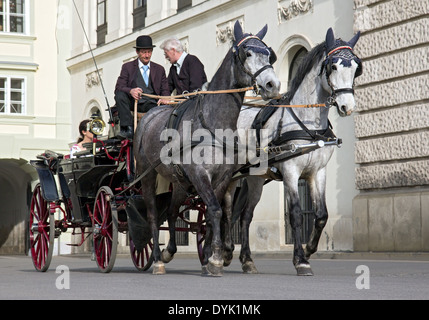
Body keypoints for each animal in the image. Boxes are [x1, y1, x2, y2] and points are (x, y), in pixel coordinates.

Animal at [134, 20, 280, 276]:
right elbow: (215, 210)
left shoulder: (221, 179)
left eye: (268, 53)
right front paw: (216, 259)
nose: (272, 85)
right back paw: (158, 260)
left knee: (171, 211)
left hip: (180, 182)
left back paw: (169, 251)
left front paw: (214, 256)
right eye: (247, 53)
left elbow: (215, 216)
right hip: (147, 175)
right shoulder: (200, 175)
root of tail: (148, 115)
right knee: (152, 214)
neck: (213, 124)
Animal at [224, 28, 362, 276]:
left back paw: (246, 259)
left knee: (246, 215)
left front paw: (309, 249)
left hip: (254, 178)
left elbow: (321, 215)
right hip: (231, 176)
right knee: (227, 209)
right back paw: (223, 250)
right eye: (333, 67)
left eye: (356, 67)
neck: (309, 124)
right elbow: (297, 214)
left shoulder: (317, 172)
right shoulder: (291, 172)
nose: (347, 106)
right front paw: (300, 260)